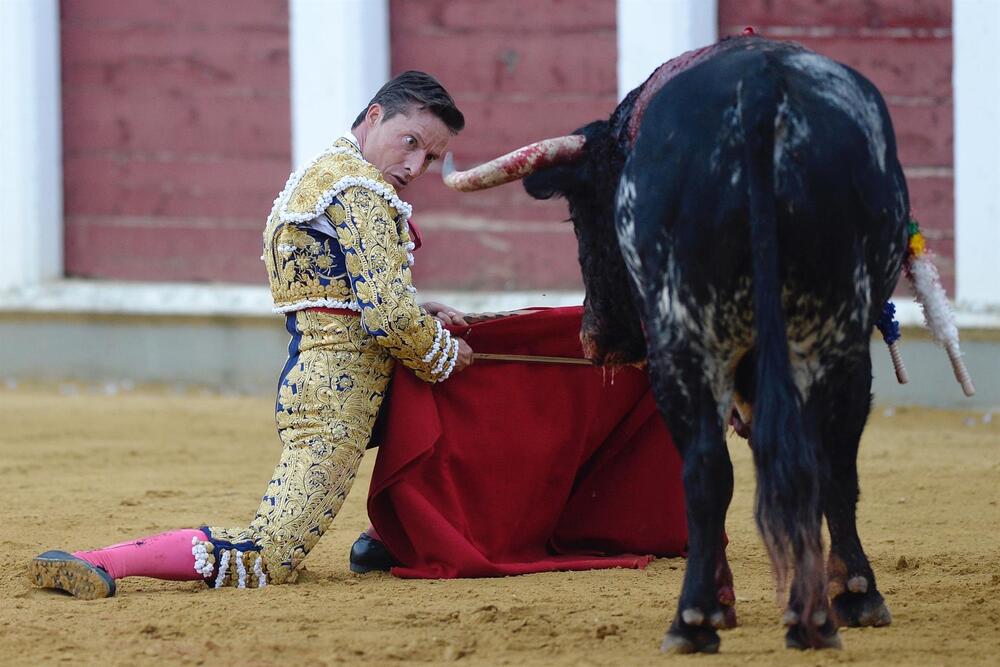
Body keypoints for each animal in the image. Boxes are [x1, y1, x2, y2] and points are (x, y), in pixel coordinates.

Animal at [446, 35, 908, 652]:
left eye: (580, 215)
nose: (595, 338)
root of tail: (760, 93)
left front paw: (721, 599)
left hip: (686, 343)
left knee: (708, 468)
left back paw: (695, 617)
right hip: (842, 336)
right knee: (830, 459)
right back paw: (850, 597)